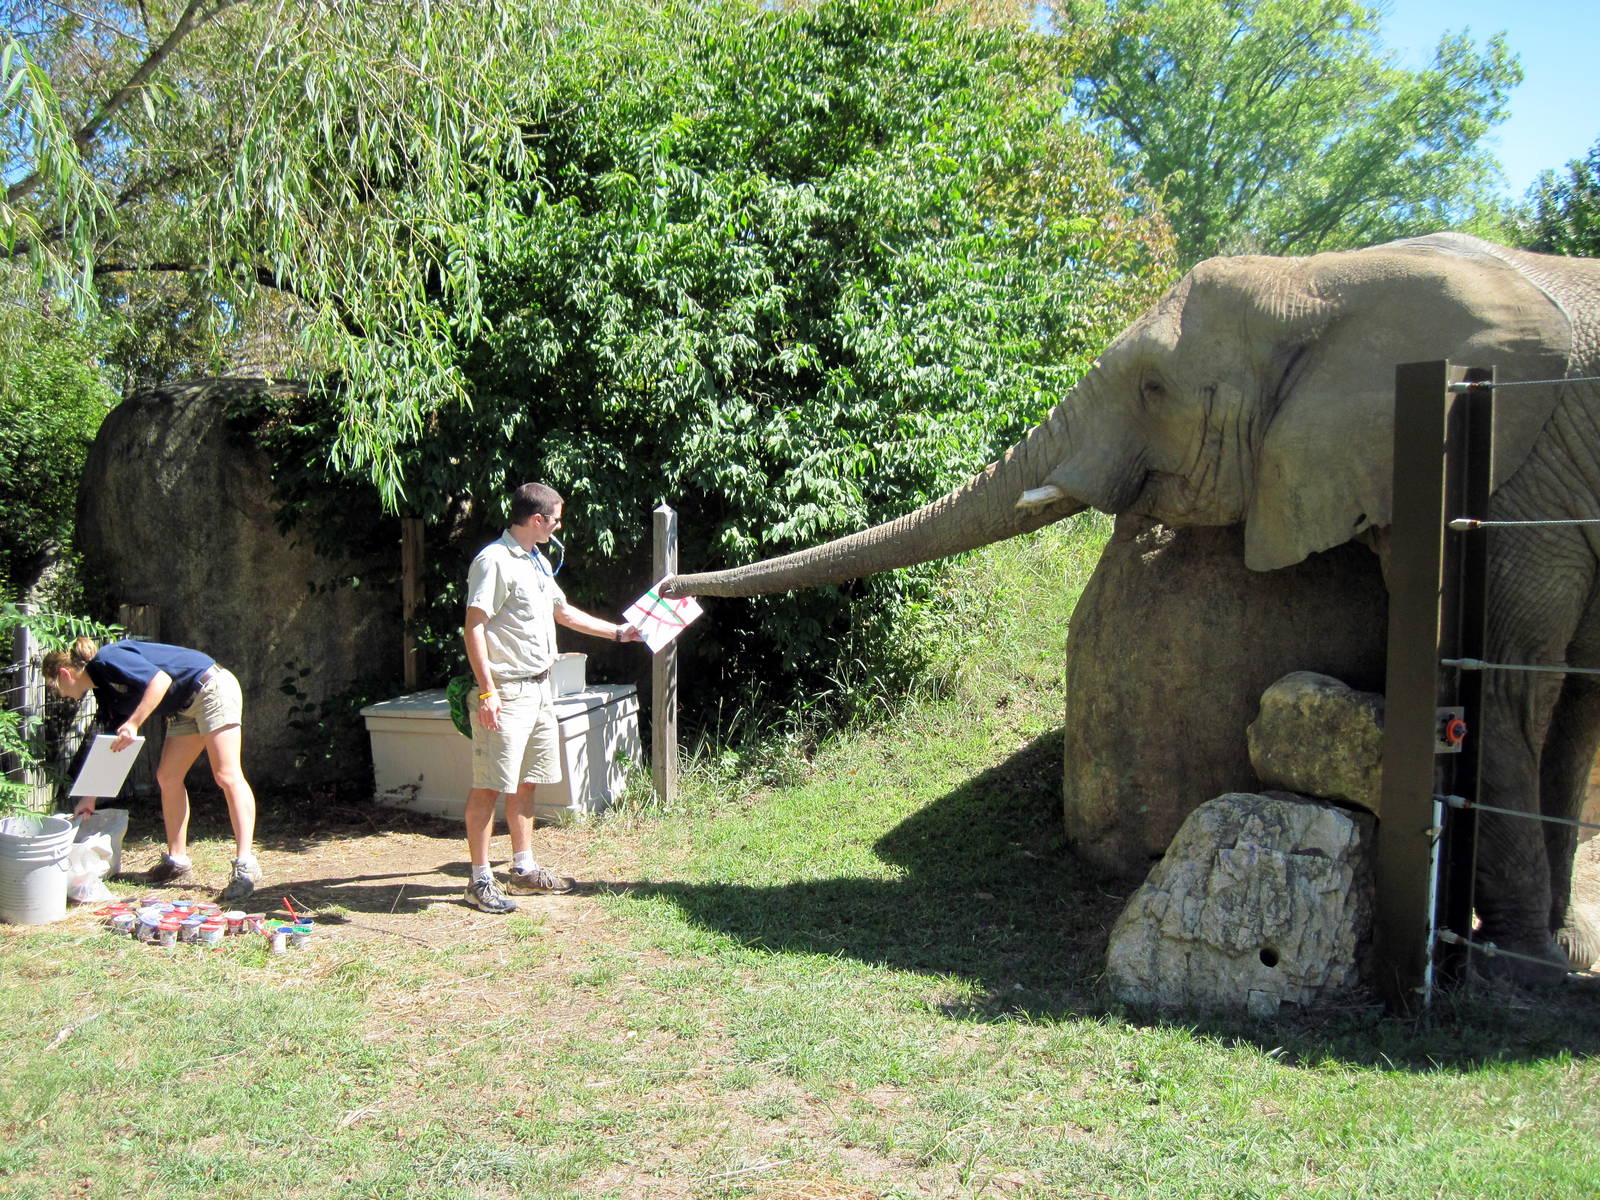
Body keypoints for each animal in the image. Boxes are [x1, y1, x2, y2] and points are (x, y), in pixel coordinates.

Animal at [661, 232, 1600, 981]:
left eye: (1153, 388)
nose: (671, 588)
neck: (1332, 277)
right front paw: (1547, 958)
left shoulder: (1512, 478)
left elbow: (1498, 683)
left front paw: (1524, 967)